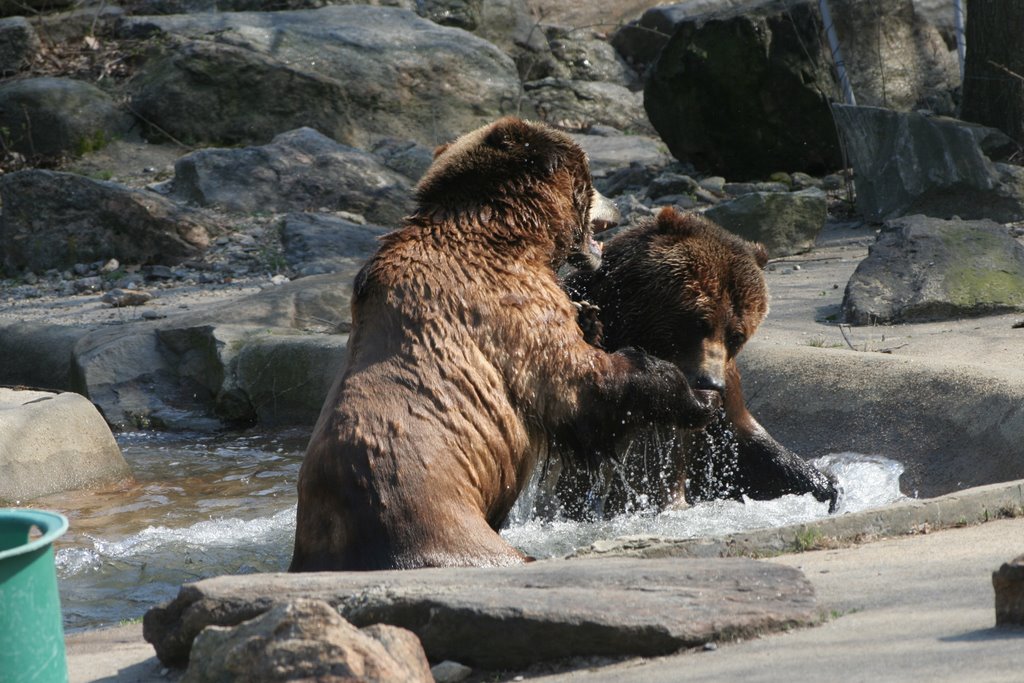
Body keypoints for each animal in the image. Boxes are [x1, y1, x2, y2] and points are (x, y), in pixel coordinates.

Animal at [288, 118, 720, 573]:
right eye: (589, 177)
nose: (618, 204)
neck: (514, 234)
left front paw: (590, 316)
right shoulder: (505, 301)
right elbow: (580, 384)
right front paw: (694, 397)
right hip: (432, 518)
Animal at [557, 206, 835, 518]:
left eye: (736, 335)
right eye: (699, 321)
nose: (709, 381)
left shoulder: (727, 387)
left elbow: (746, 448)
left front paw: (825, 485)